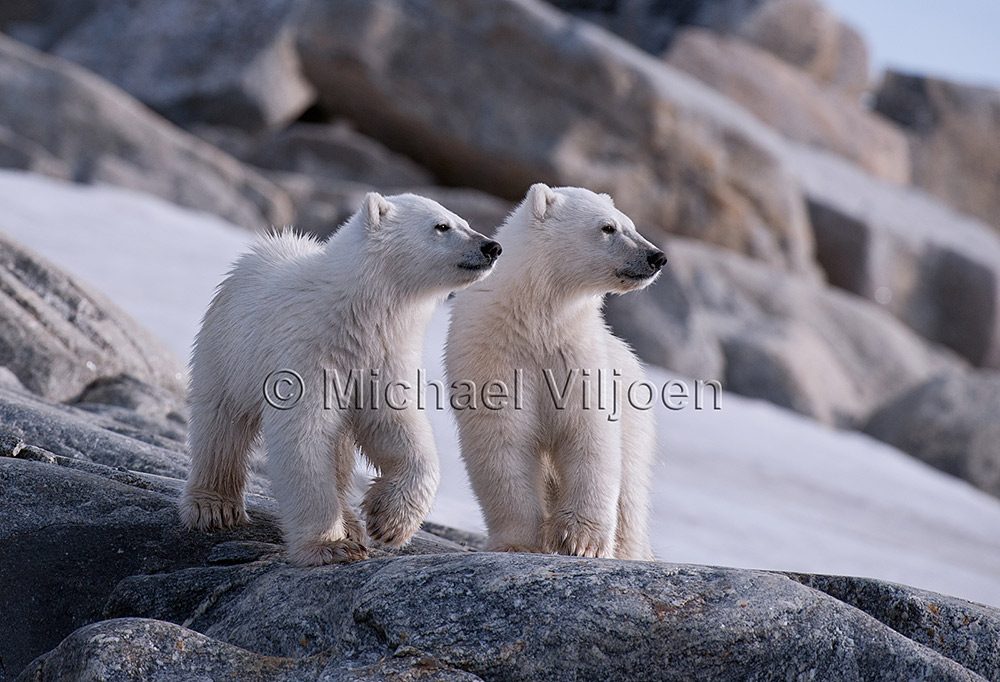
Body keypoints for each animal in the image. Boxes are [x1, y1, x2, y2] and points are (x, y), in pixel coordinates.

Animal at [180, 192, 502, 566]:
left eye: (464, 221)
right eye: (441, 226)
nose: (492, 246)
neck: (352, 314)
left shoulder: (382, 359)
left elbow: (399, 429)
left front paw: (388, 521)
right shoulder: (306, 356)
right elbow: (303, 437)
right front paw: (331, 546)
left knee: (340, 450)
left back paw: (351, 522)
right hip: (227, 350)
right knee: (220, 423)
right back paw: (214, 506)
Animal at [445, 184, 665, 560]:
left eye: (631, 225)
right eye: (608, 227)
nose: (657, 257)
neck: (536, 319)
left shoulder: (578, 358)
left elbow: (589, 436)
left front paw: (581, 542)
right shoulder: (493, 356)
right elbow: (503, 441)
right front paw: (517, 542)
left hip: (637, 421)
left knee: (630, 493)